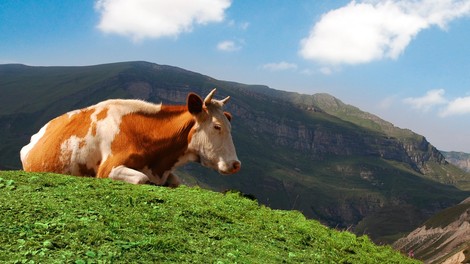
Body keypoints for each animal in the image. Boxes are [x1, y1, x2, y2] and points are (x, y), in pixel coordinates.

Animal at [20, 89, 241, 187]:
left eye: (231, 126)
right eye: (217, 126)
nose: (236, 164)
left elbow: (176, 181)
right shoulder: (108, 169)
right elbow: (142, 178)